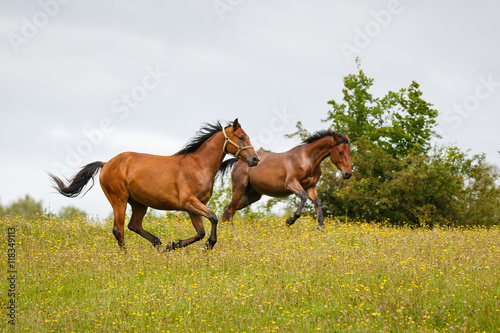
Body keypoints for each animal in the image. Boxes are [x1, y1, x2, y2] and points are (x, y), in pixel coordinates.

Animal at [48, 118, 260, 250]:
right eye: (241, 137)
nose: (255, 159)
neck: (198, 165)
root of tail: (106, 163)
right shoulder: (189, 202)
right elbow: (214, 218)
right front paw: (208, 244)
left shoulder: (194, 207)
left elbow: (200, 232)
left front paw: (173, 245)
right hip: (119, 199)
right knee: (119, 229)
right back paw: (127, 257)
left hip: (139, 203)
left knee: (133, 225)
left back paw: (158, 243)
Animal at [219, 129, 352, 228]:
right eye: (340, 152)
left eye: (350, 152)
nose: (348, 174)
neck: (308, 159)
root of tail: (239, 161)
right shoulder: (291, 183)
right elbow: (303, 196)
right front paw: (290, 220)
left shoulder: (311, 187)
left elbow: (317, 202)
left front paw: (321, 225)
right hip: (239, 189)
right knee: (231, 209)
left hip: (252, 195)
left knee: (228, 208)